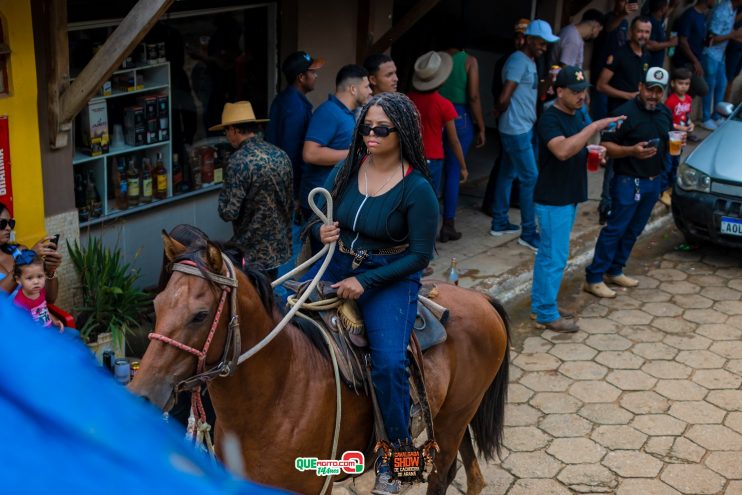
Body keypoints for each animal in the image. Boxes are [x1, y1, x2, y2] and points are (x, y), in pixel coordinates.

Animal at [129, 233, 512, 495]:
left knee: (441, 474)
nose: (142, 394)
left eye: (200, 315)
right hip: (453, 415)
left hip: (455, 416)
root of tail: (480, 298)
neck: (277, 393)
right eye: (158, 304)